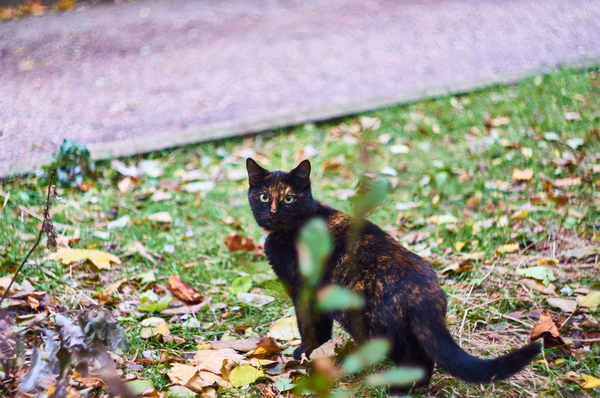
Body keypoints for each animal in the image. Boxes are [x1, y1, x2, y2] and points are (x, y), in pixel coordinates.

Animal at [246, 157, 540, 394]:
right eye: (263, 197)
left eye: (288, 198)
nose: (273, 211)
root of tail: (423, 290)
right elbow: (323, 330)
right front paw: (320, 355)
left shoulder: (302, 291)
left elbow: (308, 325)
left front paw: (304, 354)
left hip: (374, 328)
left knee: (416, 362)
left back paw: (398, 389)